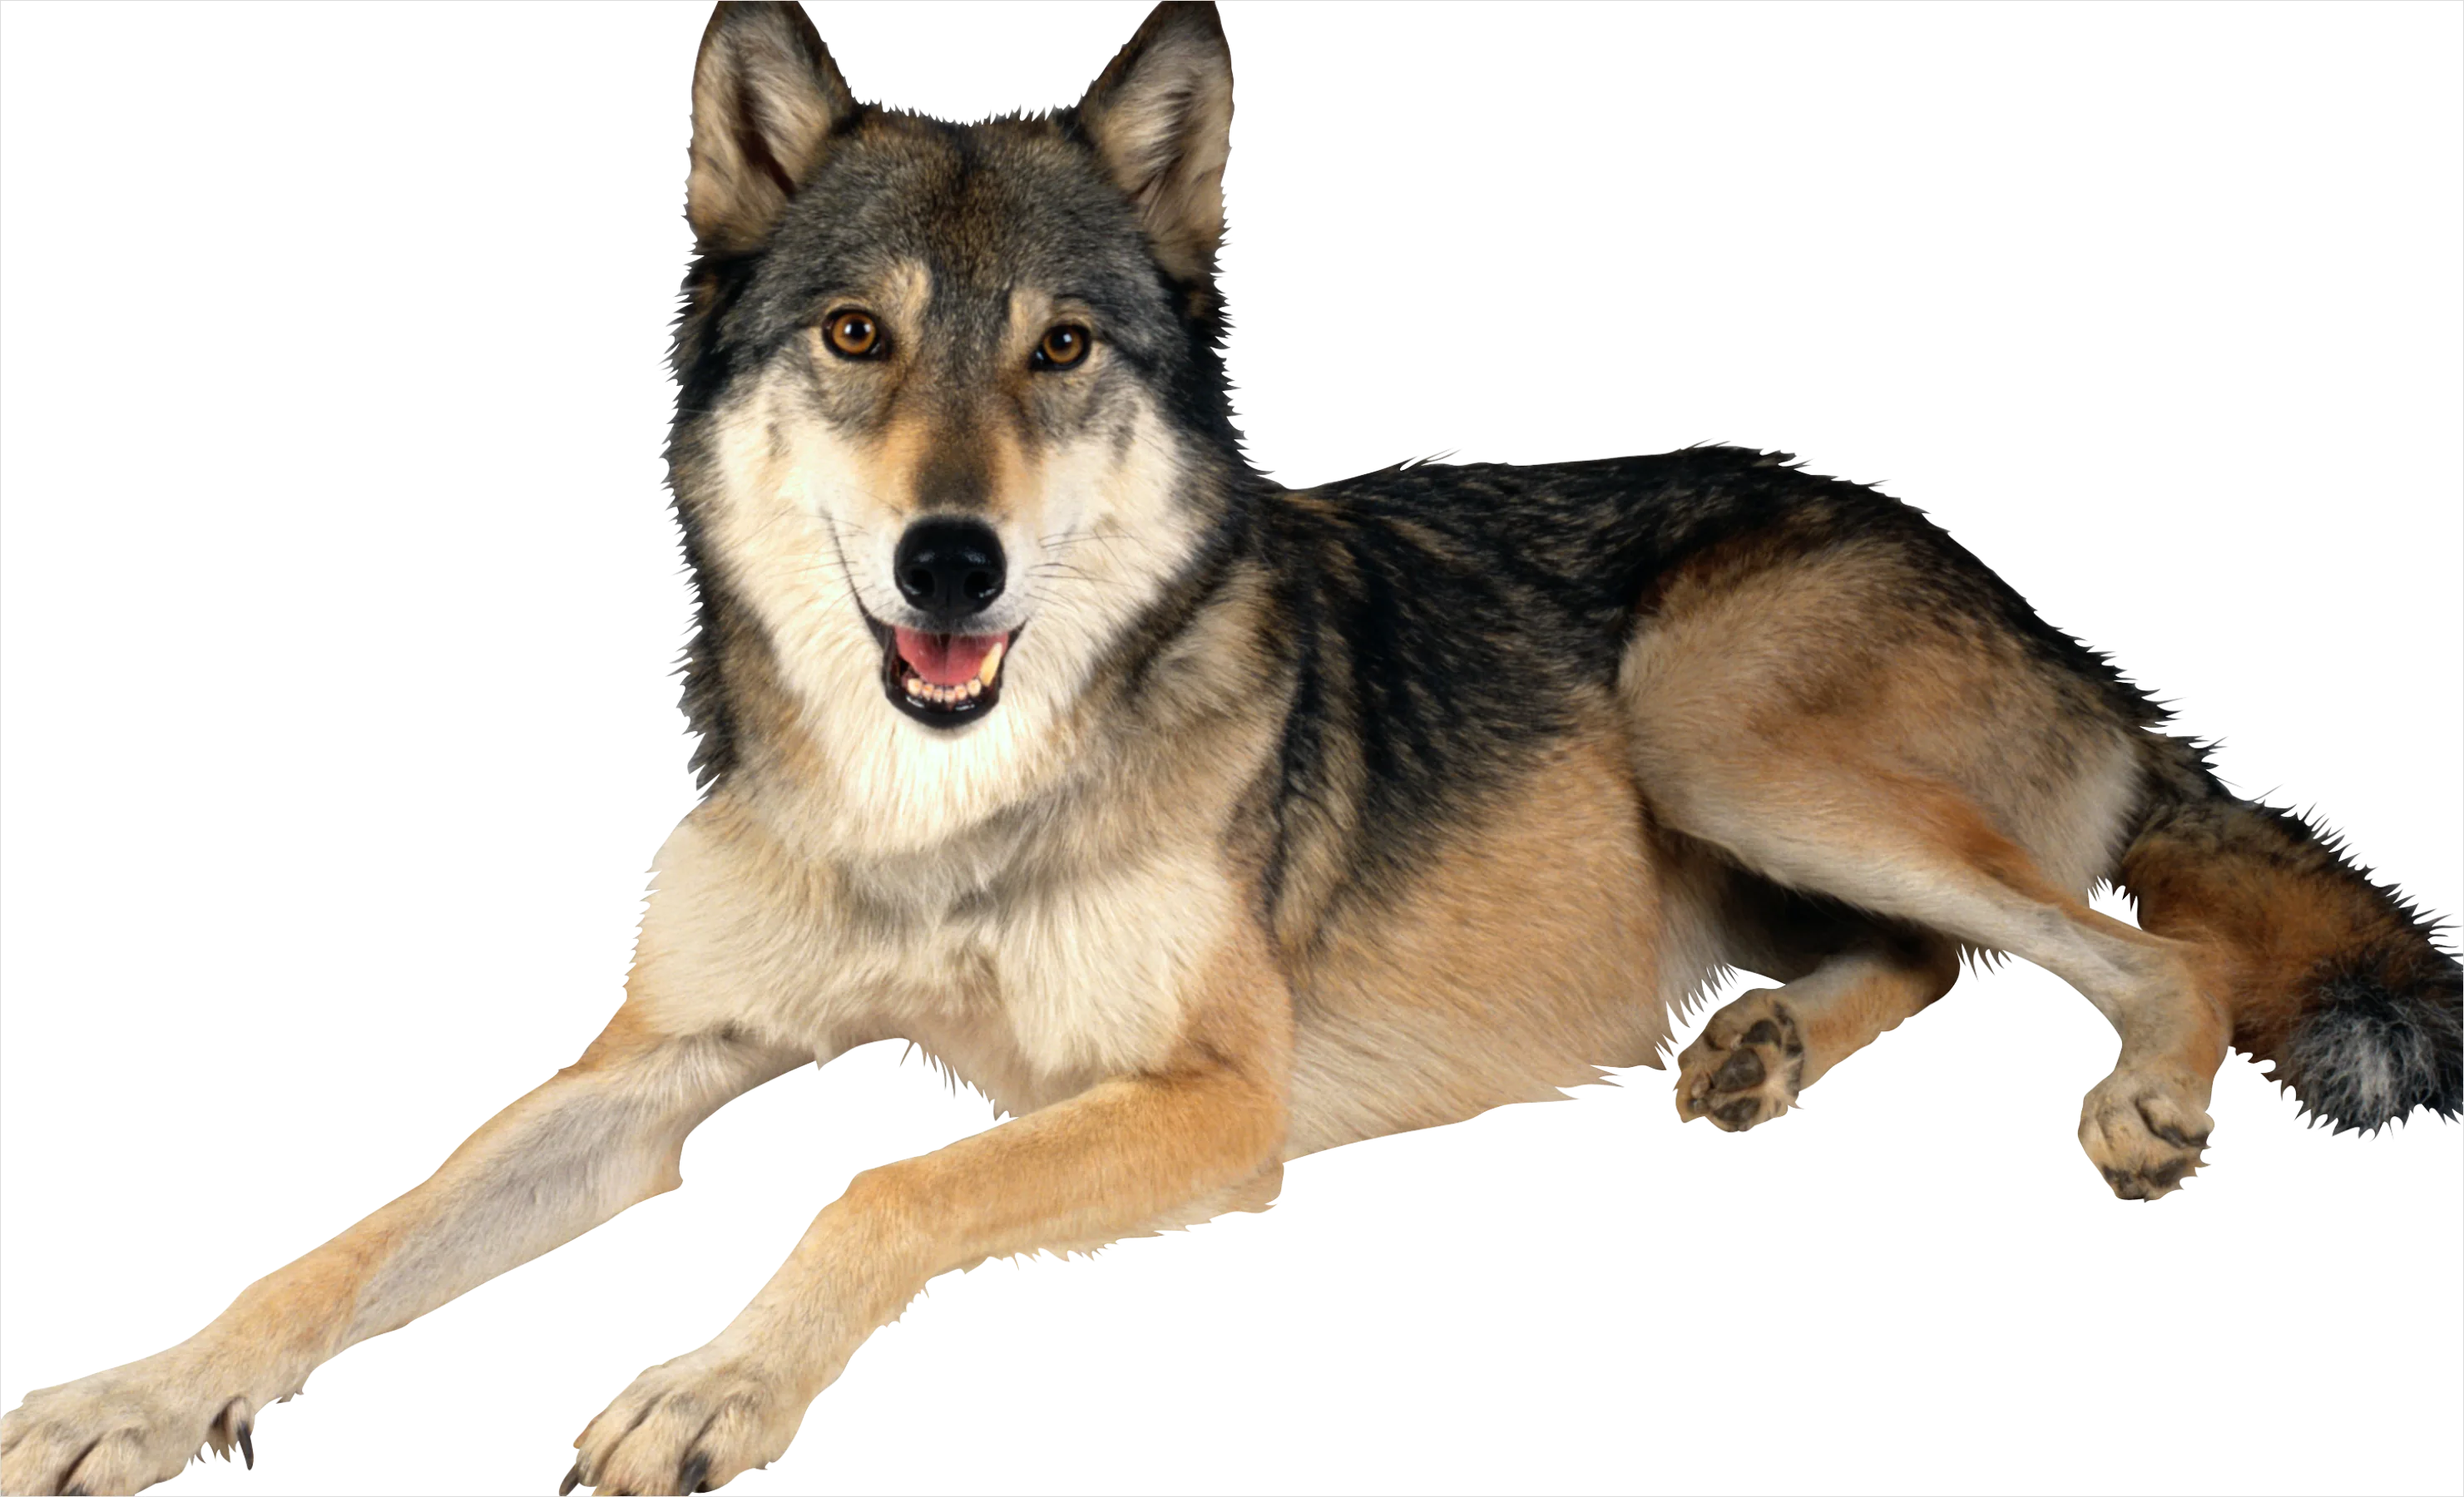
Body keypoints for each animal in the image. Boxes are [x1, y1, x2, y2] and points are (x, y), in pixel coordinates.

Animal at [5, 4, 2456, 1493]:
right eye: (861, 338)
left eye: (1063, 349)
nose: (956, 559)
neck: (943, 800)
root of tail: (2006, 585)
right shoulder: (657, 1065)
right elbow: (343, 1246)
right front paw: (138, 1395)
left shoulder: (1208, 1102)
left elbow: (888, 1183)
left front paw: (709, 1381)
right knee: (1954, 948)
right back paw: (1757, 1049)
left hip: (1716, 728)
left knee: (2141, 943)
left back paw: (2137, 1108)